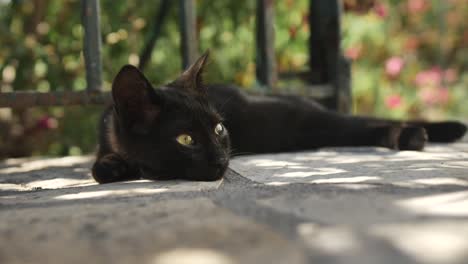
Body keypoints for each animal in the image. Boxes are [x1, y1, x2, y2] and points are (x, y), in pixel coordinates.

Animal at [92, 52, 468, 184]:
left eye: (219, 128)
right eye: (186, 139)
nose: (221, 159)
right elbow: (99, 166)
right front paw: (114, 167)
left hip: (305, 123)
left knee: (361, 124)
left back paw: (414, 135)